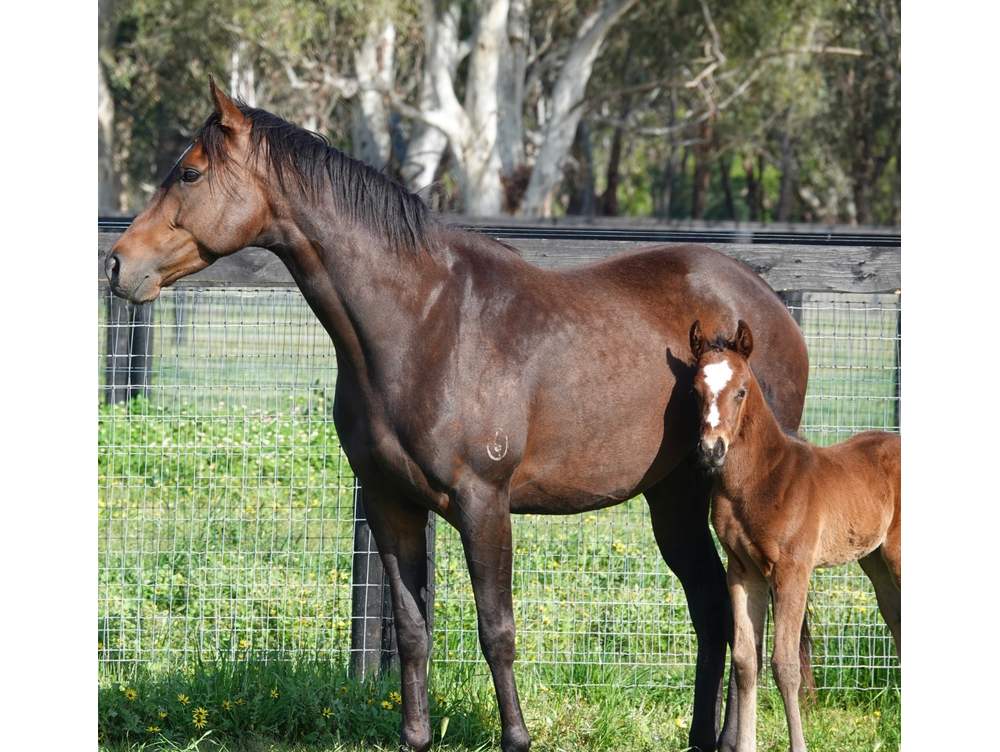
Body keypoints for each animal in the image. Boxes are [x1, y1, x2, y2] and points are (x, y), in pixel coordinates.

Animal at [107, 79, 812, 748]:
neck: (424, 322)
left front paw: (516, 738)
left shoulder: (483, 504)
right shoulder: (390, 502)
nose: (117, 264)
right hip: (672, 498)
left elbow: (496, 630)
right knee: (714, 612)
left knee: (740, 621)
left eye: (190, 172)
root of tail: (765, 306)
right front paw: (415, 737)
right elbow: (412, 629)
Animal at [692, 318, 904, 752]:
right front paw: (746, 745)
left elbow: (786, 665)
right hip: (875, 562)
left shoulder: (793, 571)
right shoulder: (743, 571)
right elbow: (746, 660)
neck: (762, 480)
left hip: (897, 554)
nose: (711, 450)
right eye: (696, 390)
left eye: (741, 391)